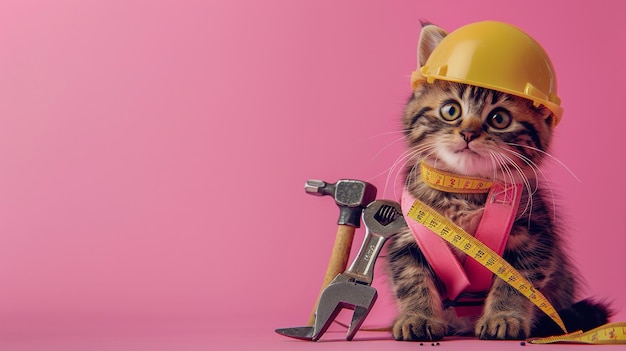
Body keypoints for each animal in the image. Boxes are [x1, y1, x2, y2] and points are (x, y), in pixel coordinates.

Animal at [386, 23, 608, 342]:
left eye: (499, 118)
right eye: (451, 111)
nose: (468, 133)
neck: (466, 188)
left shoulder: (532, 235)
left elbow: (515, 285)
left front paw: (503, 317)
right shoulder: (408, 236)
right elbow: (412, 280)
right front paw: (417, 317)